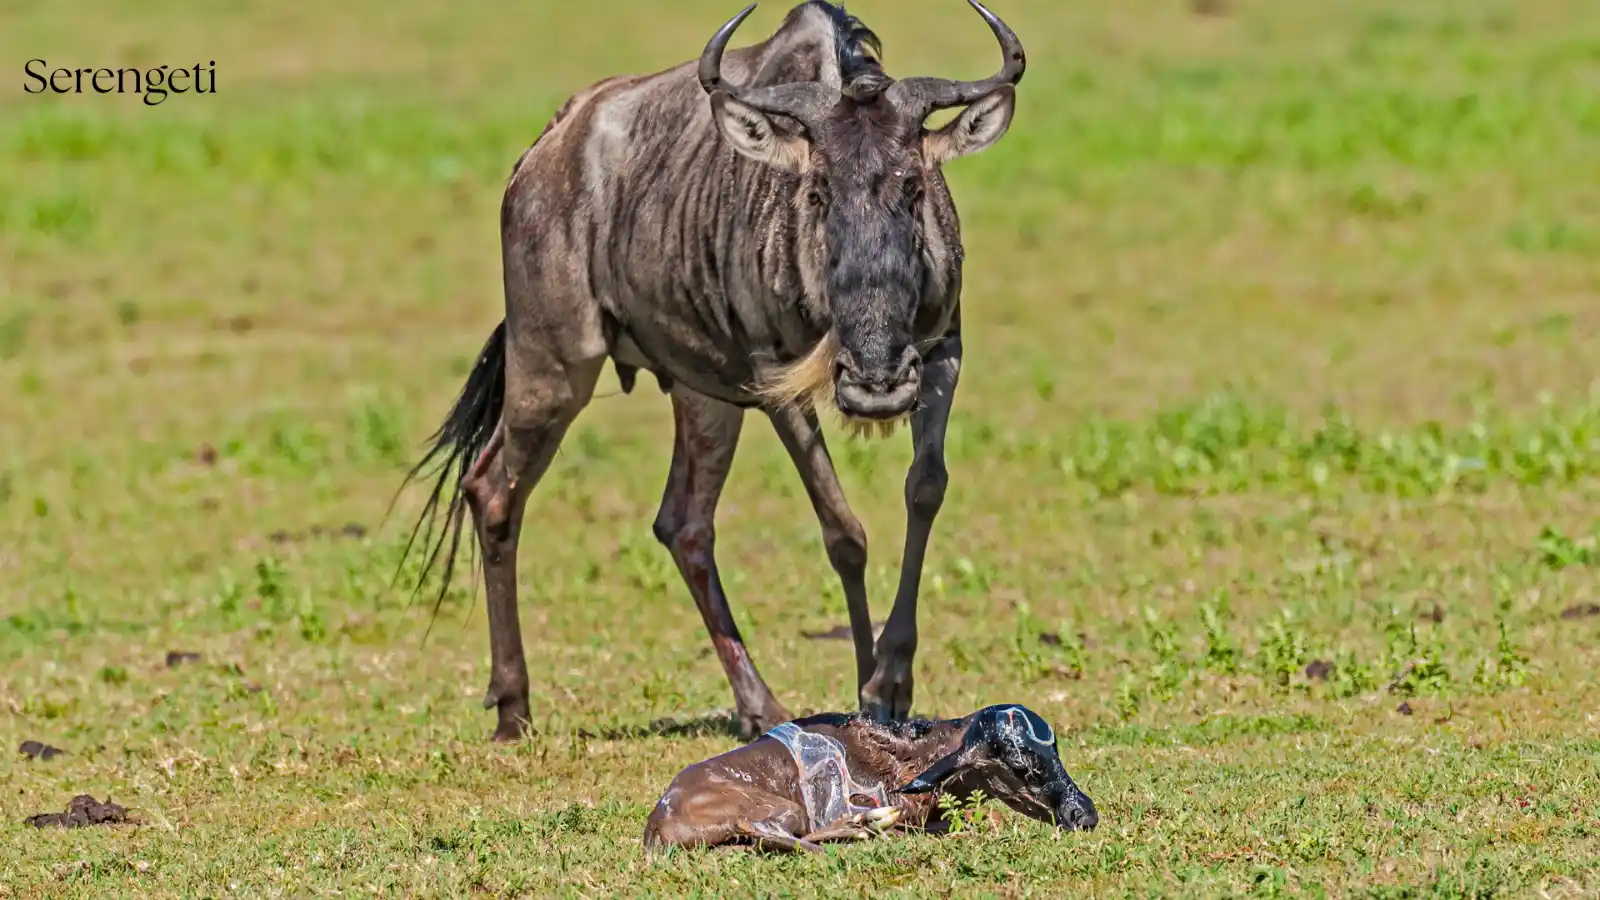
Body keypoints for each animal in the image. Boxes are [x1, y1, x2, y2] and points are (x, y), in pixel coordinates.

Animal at [397, 0, 1026, 741]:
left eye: (913, 185)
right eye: (816, 193)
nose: (874, 385)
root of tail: (544, 149)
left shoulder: (940, 354)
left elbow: (925, 488)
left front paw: (891, 680)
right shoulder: (774, 378)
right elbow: (842, 529)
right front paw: (870, 691)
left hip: (702, 397)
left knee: (684, 524)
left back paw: (760, 708)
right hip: (552, 363)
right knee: (495, 489)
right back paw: (513, 708)